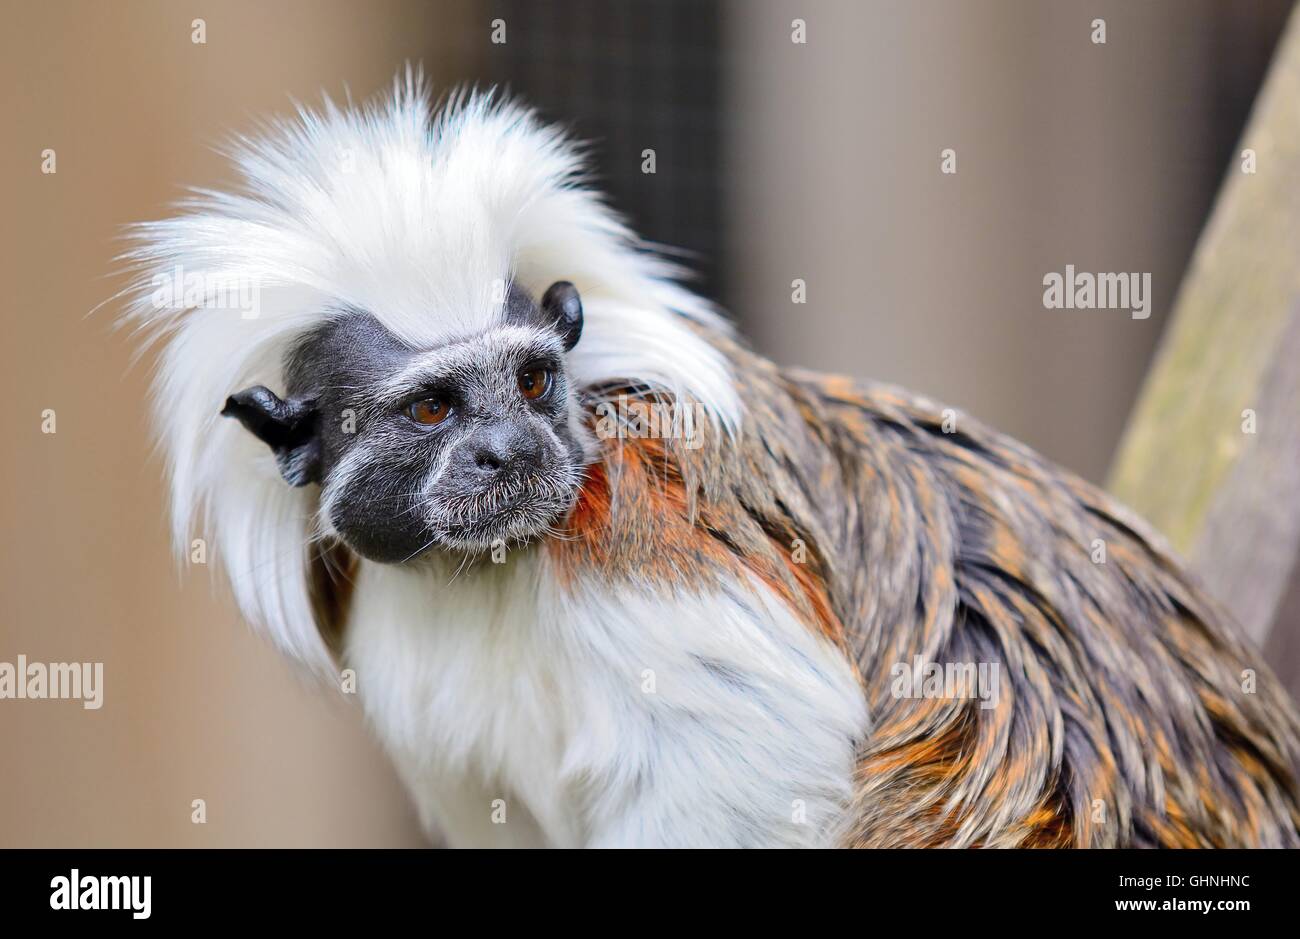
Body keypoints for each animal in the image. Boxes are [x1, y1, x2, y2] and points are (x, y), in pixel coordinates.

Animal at [123, 73, 1300, 847]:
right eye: (429, 409)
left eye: (535, 383)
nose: (509, 450)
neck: (487, 569)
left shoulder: (643, 502)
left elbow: (753, 761)